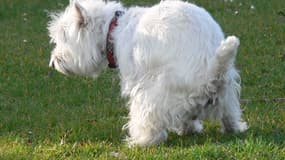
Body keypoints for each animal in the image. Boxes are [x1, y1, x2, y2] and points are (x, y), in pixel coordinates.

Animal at [47, 0, 247, 146]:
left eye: (63, 38)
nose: (53, 62)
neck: (114, 29)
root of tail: (211, 71)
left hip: (152, 95)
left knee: (151, 123)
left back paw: (139, 141)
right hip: (228, 91)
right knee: (228, 115)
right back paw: (225, 128)